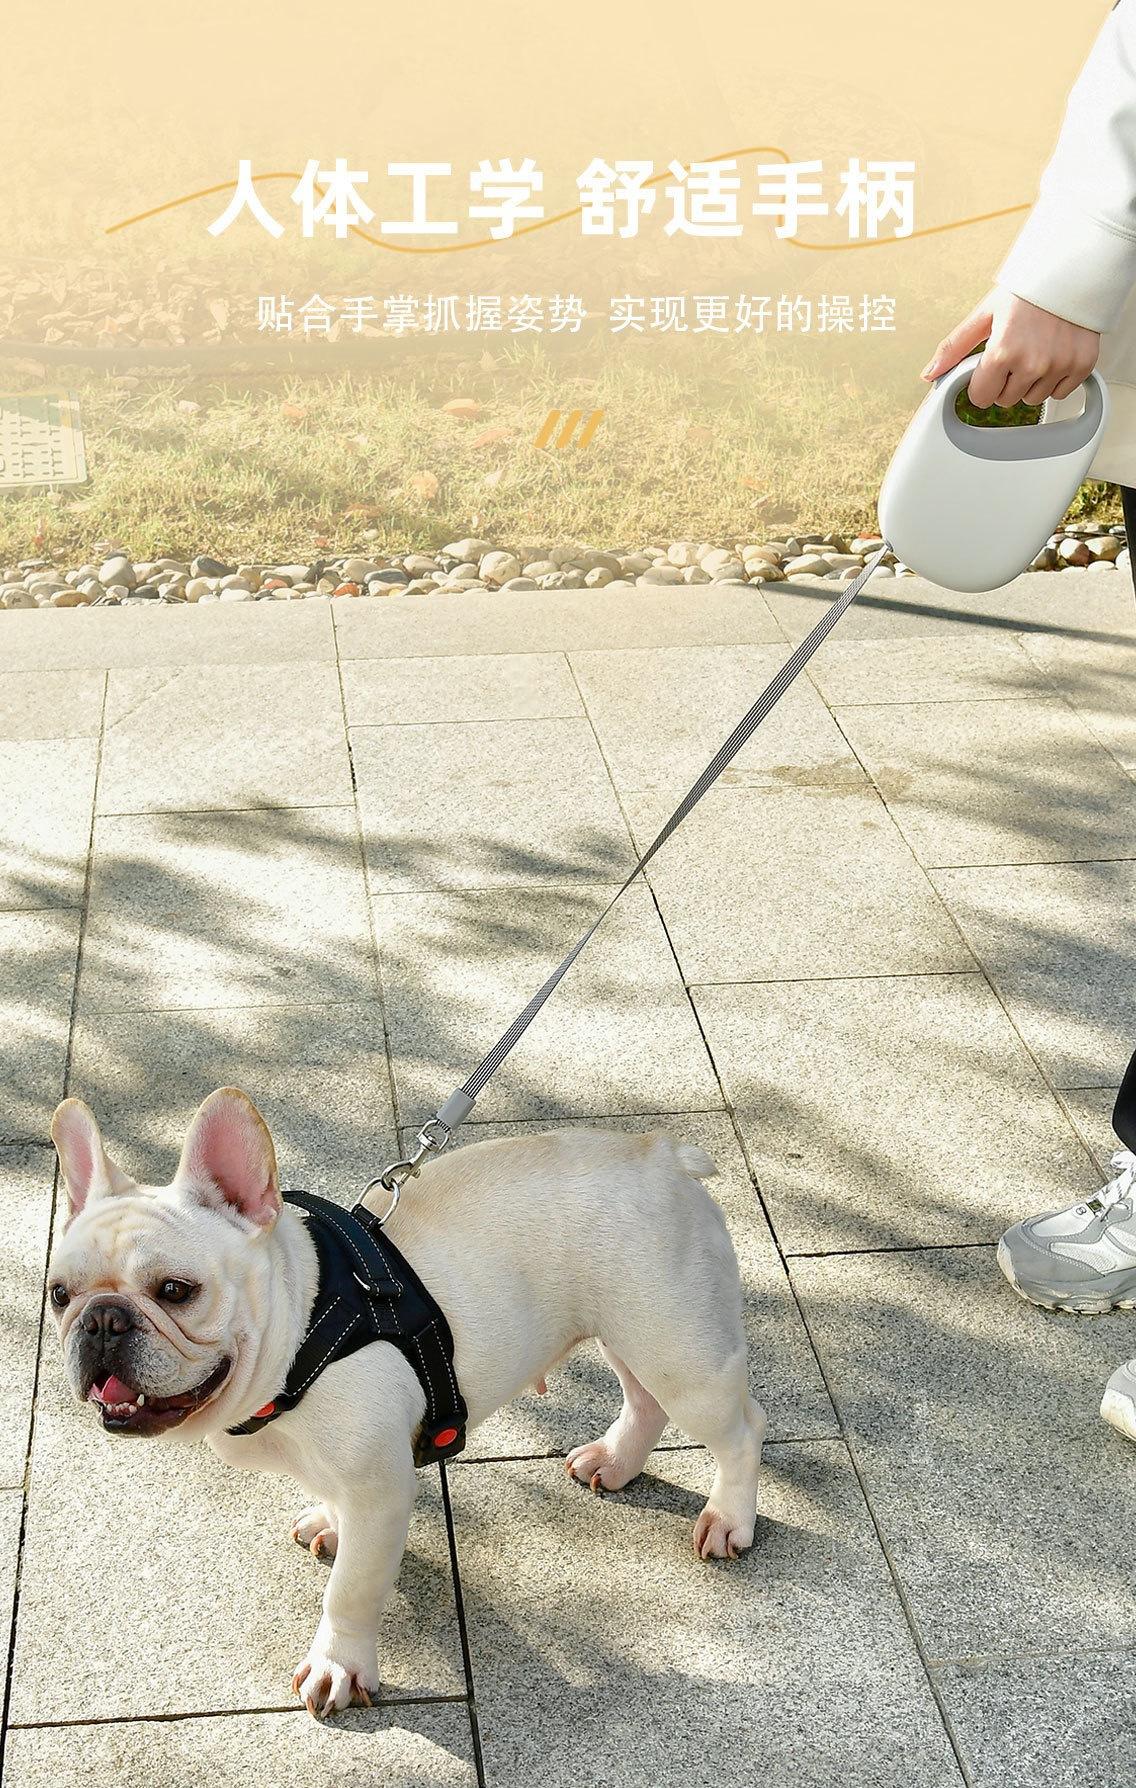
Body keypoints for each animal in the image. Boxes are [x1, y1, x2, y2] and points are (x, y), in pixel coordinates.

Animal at [47, 1087, 765, 1718]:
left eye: (175, 1290)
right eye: (59, 1294)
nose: (102, 1320)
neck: (302, 1330)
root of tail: (663, 1156)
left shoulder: (379, 1489)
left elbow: (352, 1591)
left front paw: (339, 1667)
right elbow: (335, 1509)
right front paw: (329, 1522)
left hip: (678, 1350)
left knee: (740, 1429)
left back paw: (729, 1518)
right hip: (630, 1332)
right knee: (644, 1400)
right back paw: (615, 1462)